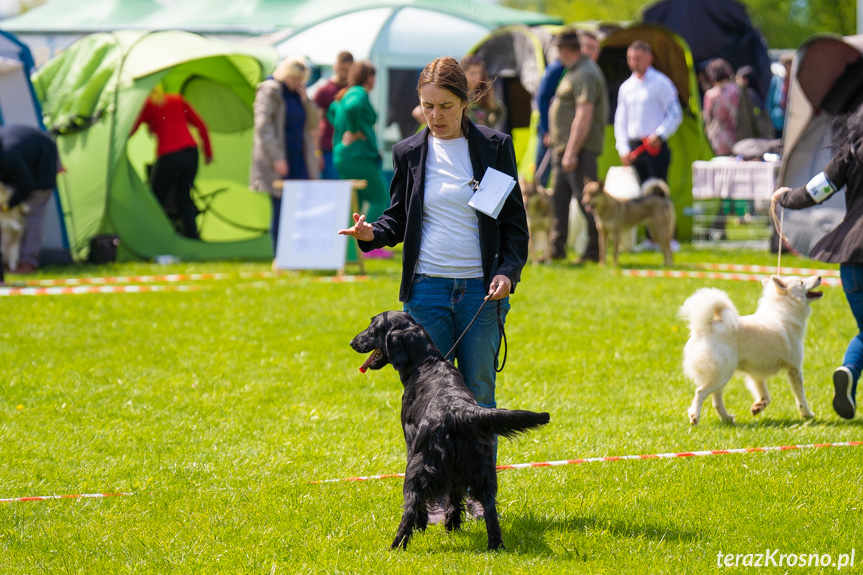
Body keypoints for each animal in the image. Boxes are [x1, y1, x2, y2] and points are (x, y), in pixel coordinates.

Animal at [350, 310, 548, 548]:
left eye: (372, 327)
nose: (352, 342)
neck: (425, 363)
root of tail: (460, 412)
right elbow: (454, 497)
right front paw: (452, 525)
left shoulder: (410, 442)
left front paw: (424, 526)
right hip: (483, 471)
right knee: (490, 510)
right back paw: (495, 546)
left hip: (418, 468)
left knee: (411, 505)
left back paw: (397, 545)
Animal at [680, 276, 824, 426]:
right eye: (802, 282)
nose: (819, 277)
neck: (784, 312)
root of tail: (705, 327)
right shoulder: (795, 370)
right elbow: (801, 397)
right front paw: (808, 414)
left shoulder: (756, 374)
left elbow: (765, 396)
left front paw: (758, 407)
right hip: (722, 376)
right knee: (700, 392)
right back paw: (695, 416)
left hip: (721, 376)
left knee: (716, 401)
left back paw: (727, 418)